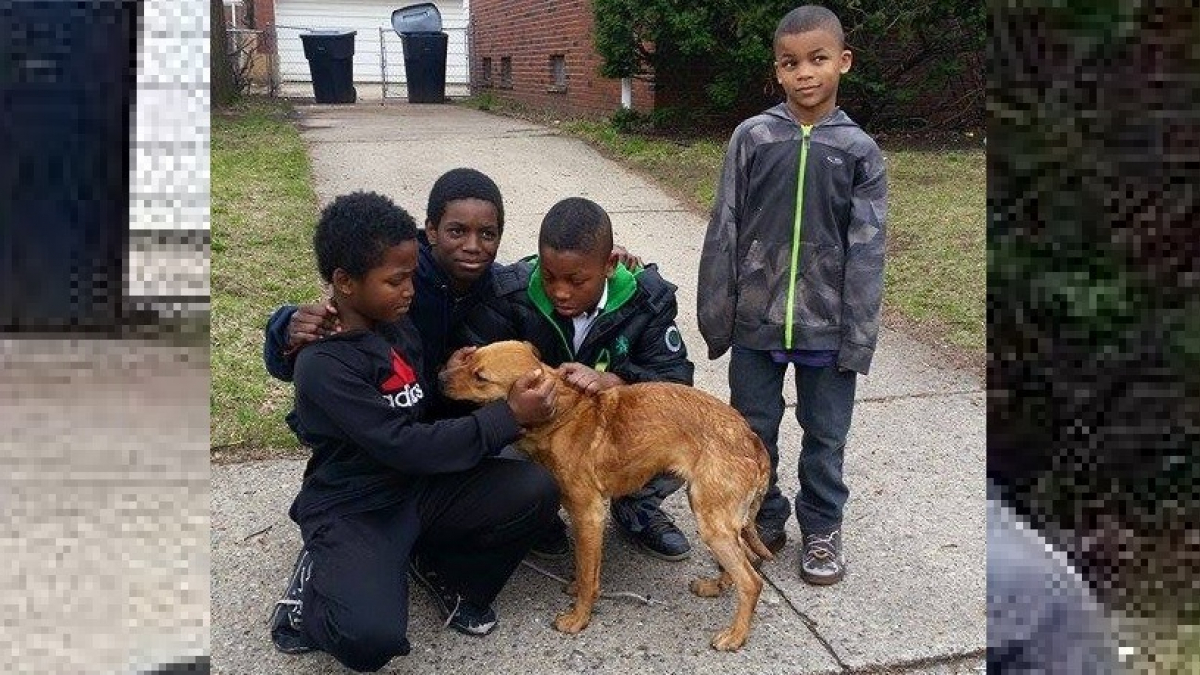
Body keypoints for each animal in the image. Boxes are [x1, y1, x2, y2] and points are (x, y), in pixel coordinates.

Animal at [444, 338, 777, 648]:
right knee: (746, 560)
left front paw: (579, 617)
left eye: (480, 377)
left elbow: (586, 572)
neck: (561, 416)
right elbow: (588, 569)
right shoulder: (587, 520)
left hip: (712, 523)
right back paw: (716, 586)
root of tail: (751, 438)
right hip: (718, 518)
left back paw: (736, 635)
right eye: (469, 357)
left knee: (751, 581)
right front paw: (579, 589)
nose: (440, 375)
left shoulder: (588, 514)